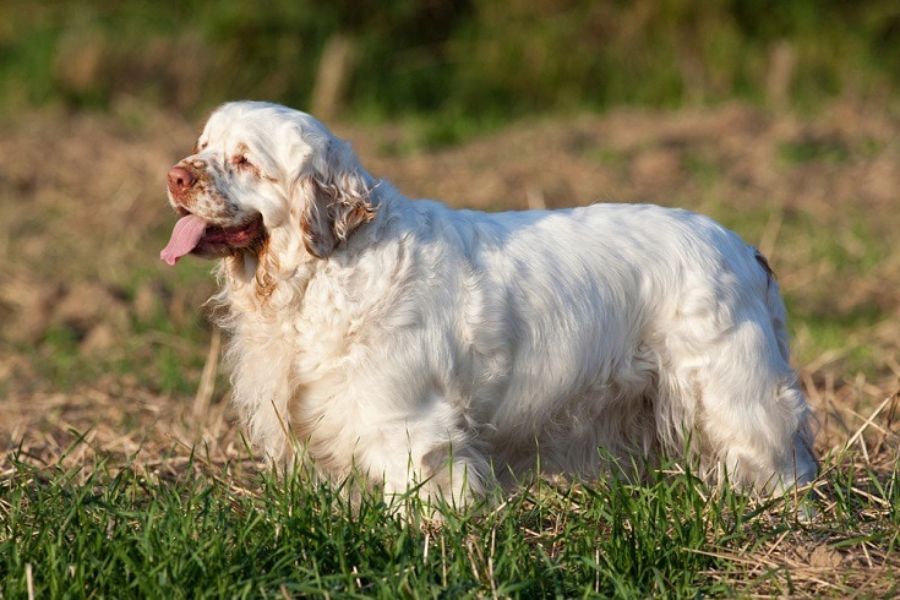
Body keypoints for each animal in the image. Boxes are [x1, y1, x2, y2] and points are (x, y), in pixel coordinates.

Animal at [160, 102, 816, 502]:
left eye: (245, 160)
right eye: (201, 144)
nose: (175, 176)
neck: (324, 272)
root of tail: (744, 247)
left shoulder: (410, 426)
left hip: (734, 395)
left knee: (779, 461)